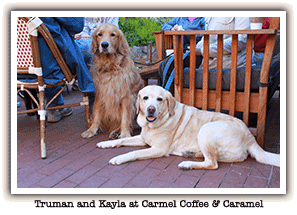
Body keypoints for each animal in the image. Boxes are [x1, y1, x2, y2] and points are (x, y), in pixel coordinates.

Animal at [97, 85, 280, 170]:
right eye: (146, 98)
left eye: (160, 99)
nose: (150, 109)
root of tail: (249, 135)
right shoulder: (143, 139)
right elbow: (123, 140)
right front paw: (105, 143)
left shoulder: (158, 149)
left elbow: (133, 153)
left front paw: (119, 158)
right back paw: (191, 154)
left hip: (206, 130)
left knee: (213, 163)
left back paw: (187, 163)